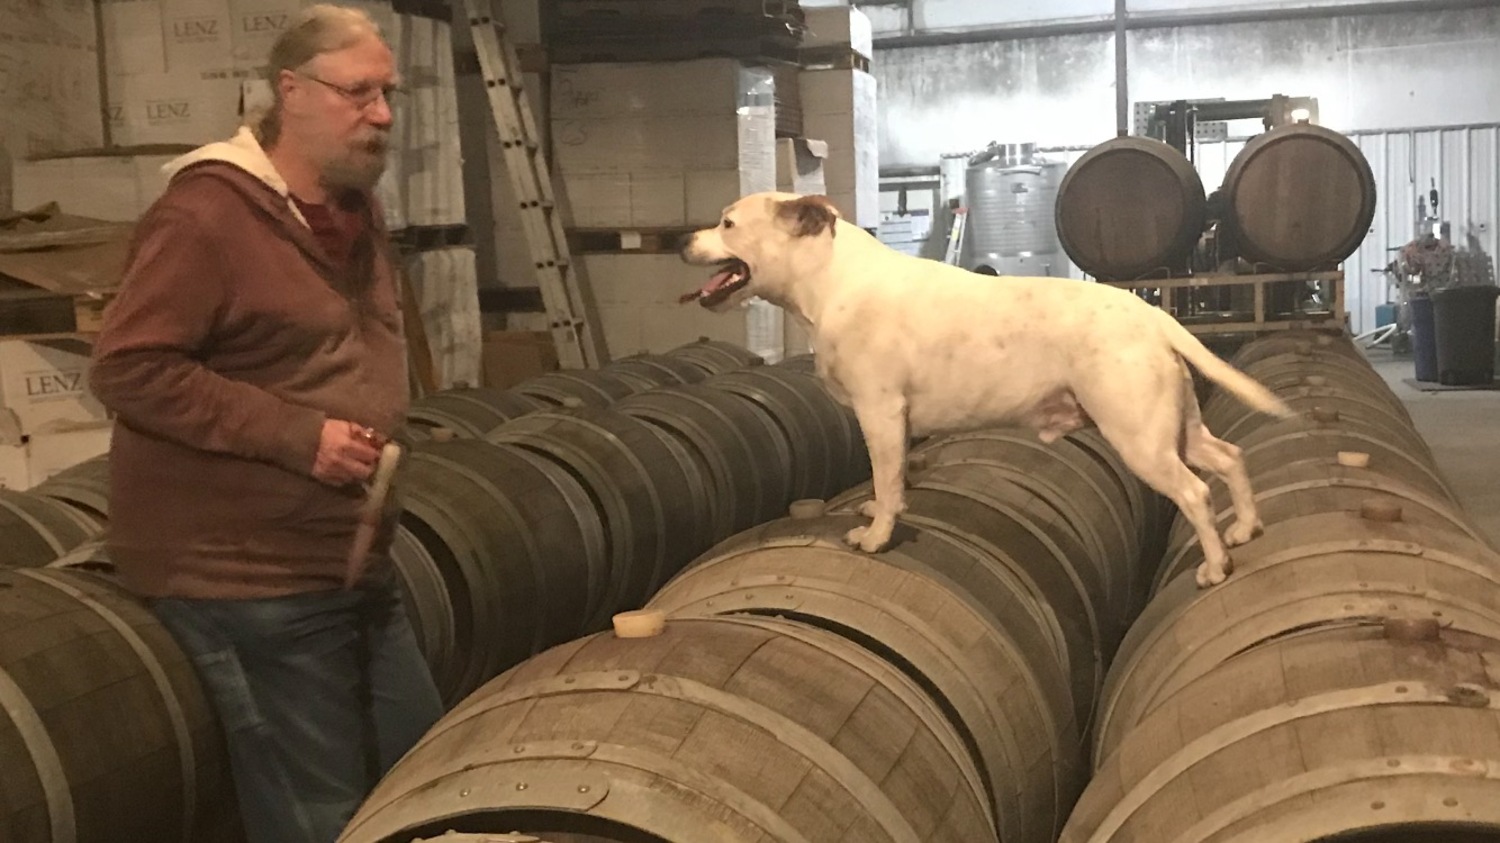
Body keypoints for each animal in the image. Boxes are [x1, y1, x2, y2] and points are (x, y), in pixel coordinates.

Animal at [675, 190, 1296, 585]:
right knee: (1229, 457)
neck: (831, 281)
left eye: (727, 223)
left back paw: (1214, 568)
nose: (680, 239)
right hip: (1174, 427)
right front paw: (876, 508)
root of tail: (1151, 317)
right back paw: (1245, 529)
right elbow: (888, 480)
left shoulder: (880, 412)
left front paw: (876, 536)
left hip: (1139, 437)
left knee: (1194, 493)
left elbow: (888, 479)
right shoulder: (889, 422)